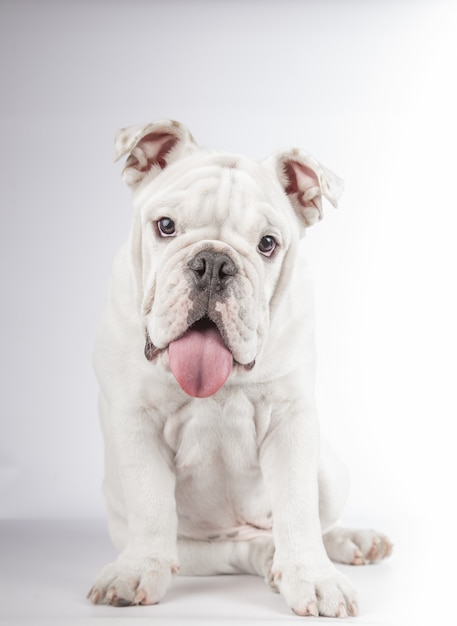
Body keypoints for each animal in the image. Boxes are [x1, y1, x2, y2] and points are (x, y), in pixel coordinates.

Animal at [87, 119, 390, 616]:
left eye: (268, 244)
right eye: (165, 226)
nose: (214, 263)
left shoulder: (291, 420)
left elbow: (298, 508)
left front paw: (314, 578)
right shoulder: (136, 420)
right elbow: (150, 503)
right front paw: (134, 572)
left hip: (329, 470)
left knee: (310, 524)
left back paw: (351, 541)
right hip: (179, 544)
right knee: (236, 551)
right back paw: (267, 558)